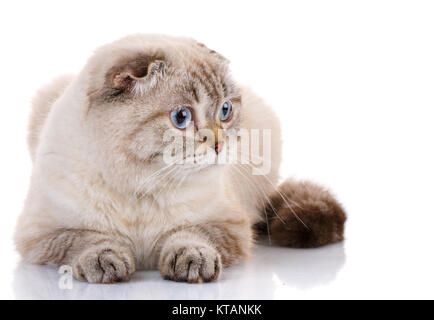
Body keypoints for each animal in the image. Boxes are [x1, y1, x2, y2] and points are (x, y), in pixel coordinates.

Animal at [14, 35, 346, 284]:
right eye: (181, 117)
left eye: (225, 110)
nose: (219, 144)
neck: (142, 184)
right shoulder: (42, 234)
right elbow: (84, 240)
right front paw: (105, 260)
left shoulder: (228, 225)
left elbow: (192, 234)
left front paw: (192, 261)